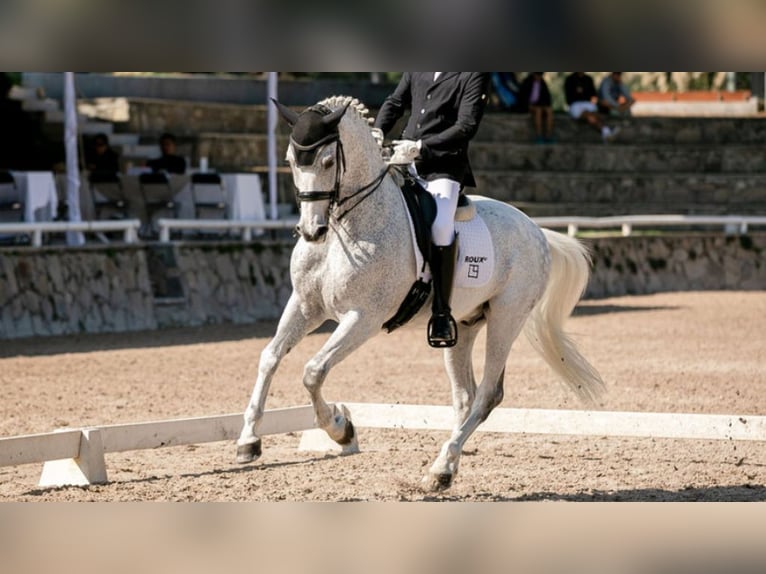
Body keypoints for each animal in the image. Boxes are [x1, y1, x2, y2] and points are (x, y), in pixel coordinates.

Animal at [236, 95, 608, 490]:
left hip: (507, 318)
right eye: (290, 161)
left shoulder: (364, 317)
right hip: (465, 326)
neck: (347, 228)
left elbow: (313, 371)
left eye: (327, 161)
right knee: (465, 396)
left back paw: (440, 469)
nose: (311, 231)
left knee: (487, 394)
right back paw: (447, 465)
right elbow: (270, 356)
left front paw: (341, 428)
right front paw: (248, 441)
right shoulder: (306, 305)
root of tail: (537, 230)